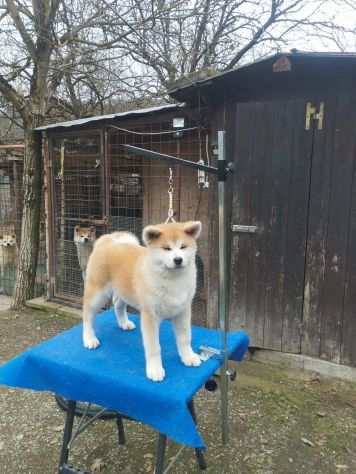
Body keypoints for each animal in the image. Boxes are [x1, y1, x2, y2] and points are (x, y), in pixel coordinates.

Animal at [81, 221, 202, 382]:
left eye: (183, 247)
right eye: (166, 248)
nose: (178, 260)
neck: (173, 280)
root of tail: (107, 240)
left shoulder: (183, 311)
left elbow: (185, 338)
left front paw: (188, 357)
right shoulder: (150, 316)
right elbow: (154, 348)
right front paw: (155, 370)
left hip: (124, 290)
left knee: (118, 305)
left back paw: (124, 323)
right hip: (97, 293)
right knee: (88, 315)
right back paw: (89, 338)